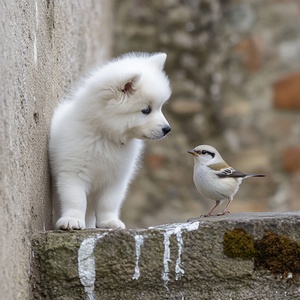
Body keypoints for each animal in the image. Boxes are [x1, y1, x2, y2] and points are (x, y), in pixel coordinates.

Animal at [49, 52, 171, 230]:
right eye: (146, 110)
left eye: (160, 107)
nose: (167, 129)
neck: (105, 136)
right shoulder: (72, 171)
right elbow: (76, 199)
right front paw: (72, 220)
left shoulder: (116, 178)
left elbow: (109, 202)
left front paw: (109, 222)